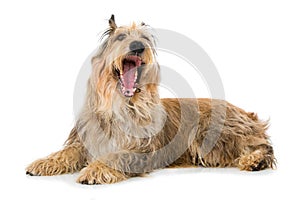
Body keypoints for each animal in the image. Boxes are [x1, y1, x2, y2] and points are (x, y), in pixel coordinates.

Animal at [27, 15, 276, 184]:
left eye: (144, 38)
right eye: (121, 37)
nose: (138, 47)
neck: (121, 105)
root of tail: (249, 116)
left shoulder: (141, 151)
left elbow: (116, 156)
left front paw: (94, 170)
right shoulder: (84, 141)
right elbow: (66, 152)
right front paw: (44, 162)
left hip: (213, 135)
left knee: (263, 147)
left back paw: (254, 161)